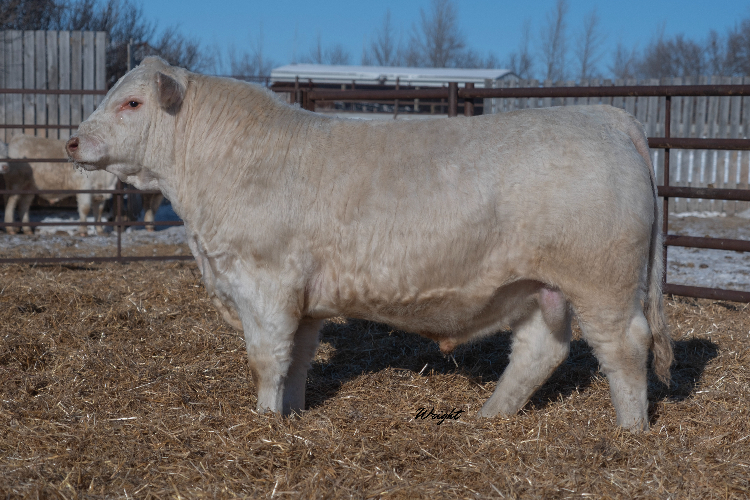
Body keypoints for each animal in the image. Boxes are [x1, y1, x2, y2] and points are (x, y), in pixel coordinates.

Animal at [67, 57, 673, 431]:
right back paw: (489, 417)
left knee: (625, 346)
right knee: (539, 350)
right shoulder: (305, 300)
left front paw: (264, 421)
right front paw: (289, 416)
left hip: (602, 281)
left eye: (131, 104)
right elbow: (298, 359)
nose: (72, 141)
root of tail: (607, 116)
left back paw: (630, 430)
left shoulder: (264, 280)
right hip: (537, 288)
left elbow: (266, 358)